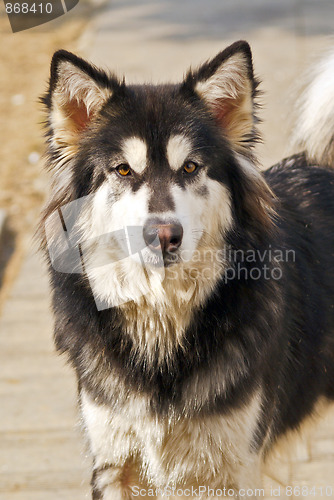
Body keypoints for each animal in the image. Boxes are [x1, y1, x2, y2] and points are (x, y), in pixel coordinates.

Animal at [40, 41, 334, 498]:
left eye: (191, 167)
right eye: (123, 169)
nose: (163, 236)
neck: (164, 327)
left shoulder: (237, 468)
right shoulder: (113, 465)